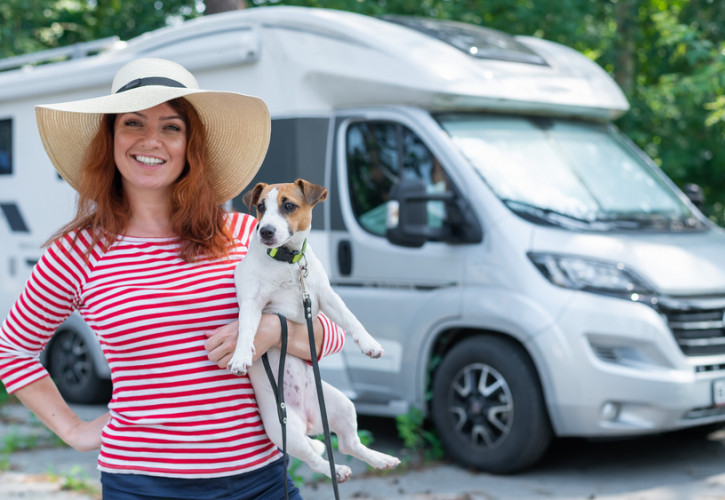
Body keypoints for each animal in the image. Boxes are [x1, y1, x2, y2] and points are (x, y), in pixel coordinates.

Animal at [229, 178, 400, 483]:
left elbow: (351, 319)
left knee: (349, 444)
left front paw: (370, 344)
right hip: (283, 429)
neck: (288, 262)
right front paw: (241, 356)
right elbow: (247, 329)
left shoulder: (325, 297)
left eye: (288, 206)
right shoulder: (252, 301)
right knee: (313, 459)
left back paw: (381, 459)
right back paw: (338, 470)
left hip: (342, 404)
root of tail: (309, 419)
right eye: (260, 207)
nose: (265, 231)